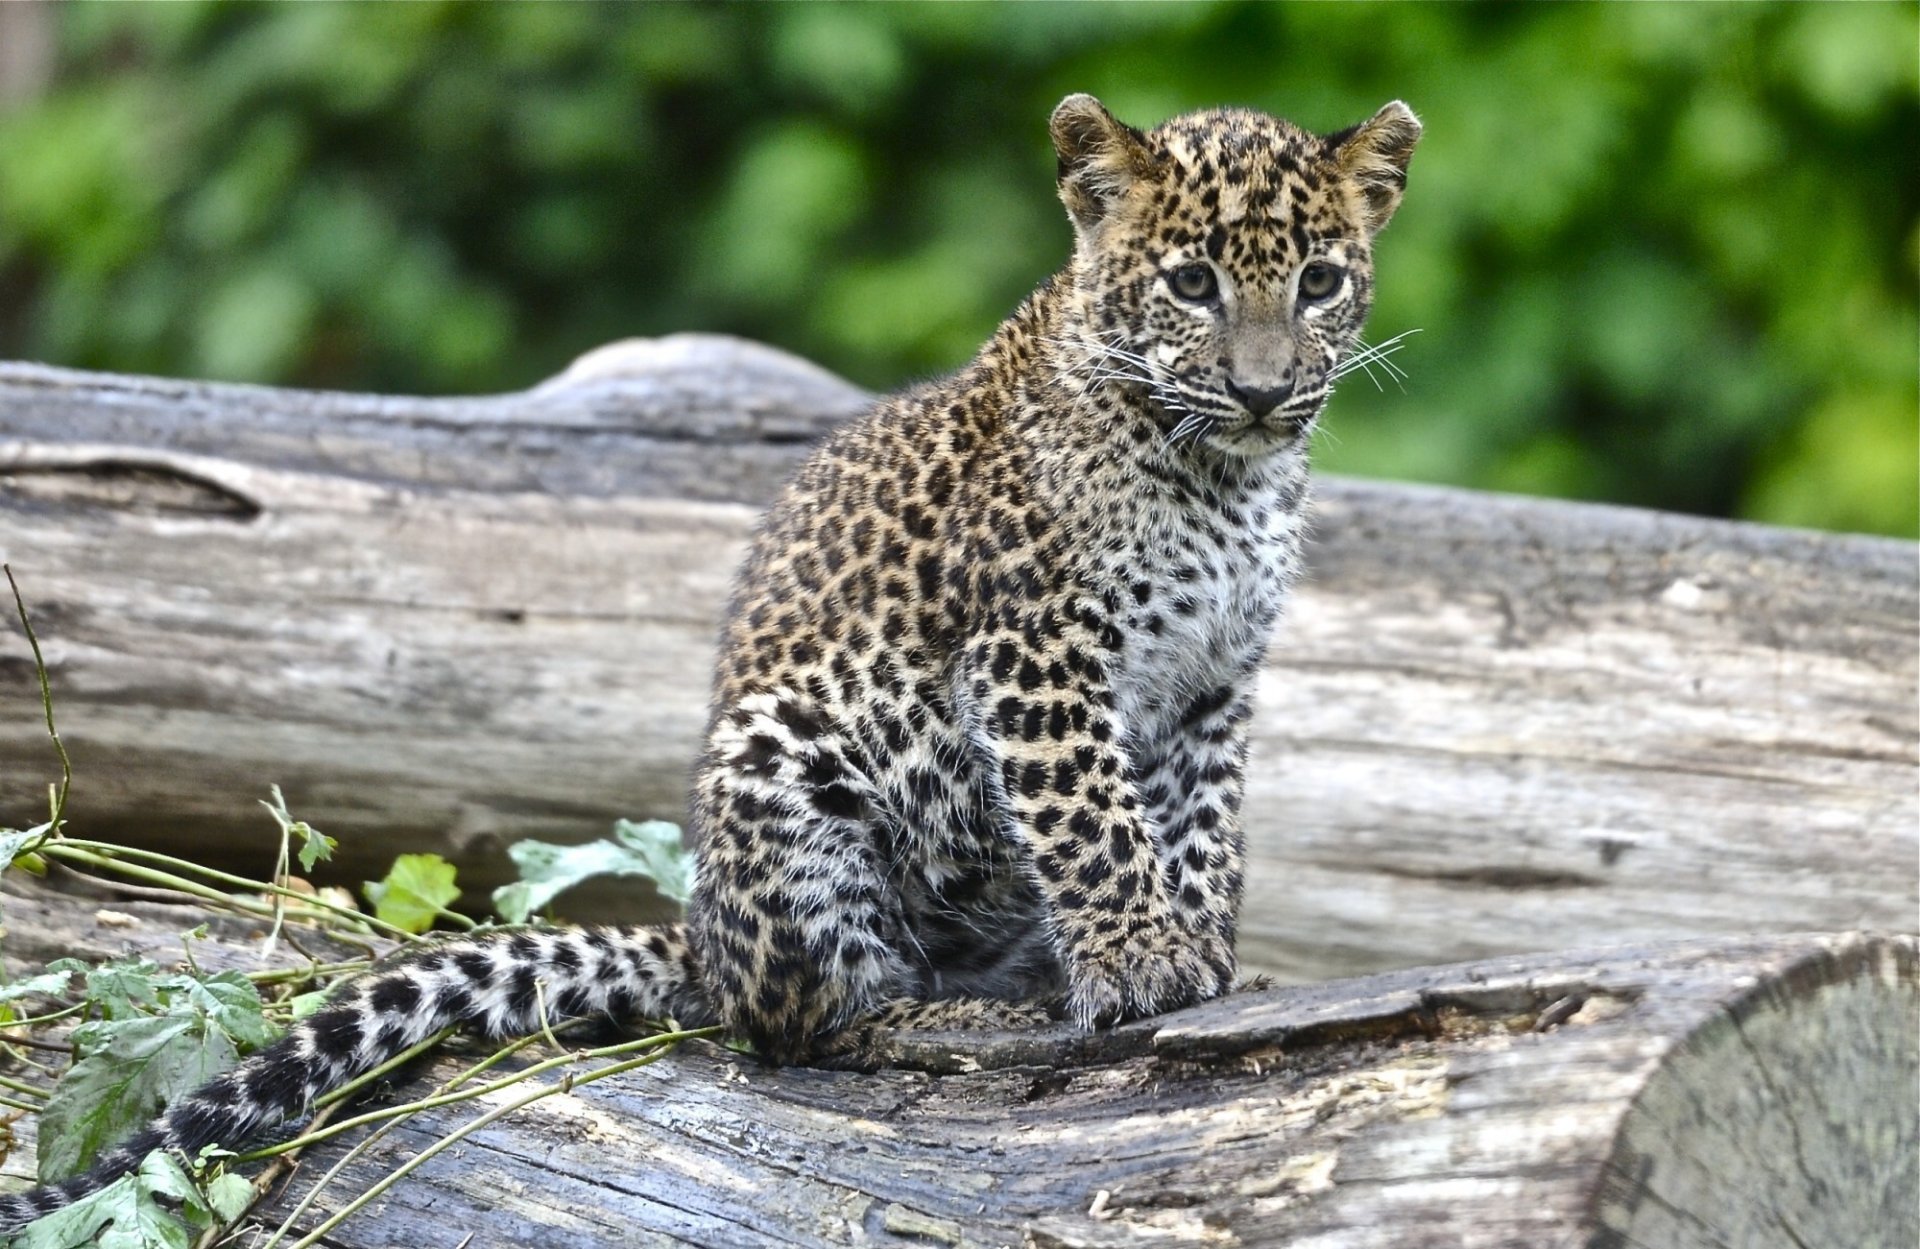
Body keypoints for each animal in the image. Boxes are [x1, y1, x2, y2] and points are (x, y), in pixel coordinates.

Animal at [0, 92, 1418, 1233]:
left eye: (1319, 281)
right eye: (1189, 283)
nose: (1262, 390)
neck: (1224, 479)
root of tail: (699, 936)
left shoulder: (1215, 680)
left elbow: (1202, 828)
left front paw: (1210, 953)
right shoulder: (1038, 654)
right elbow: (1096, 820)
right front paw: (1143, 958)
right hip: (783, 770)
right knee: (800, 1026)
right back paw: (963, 1019)